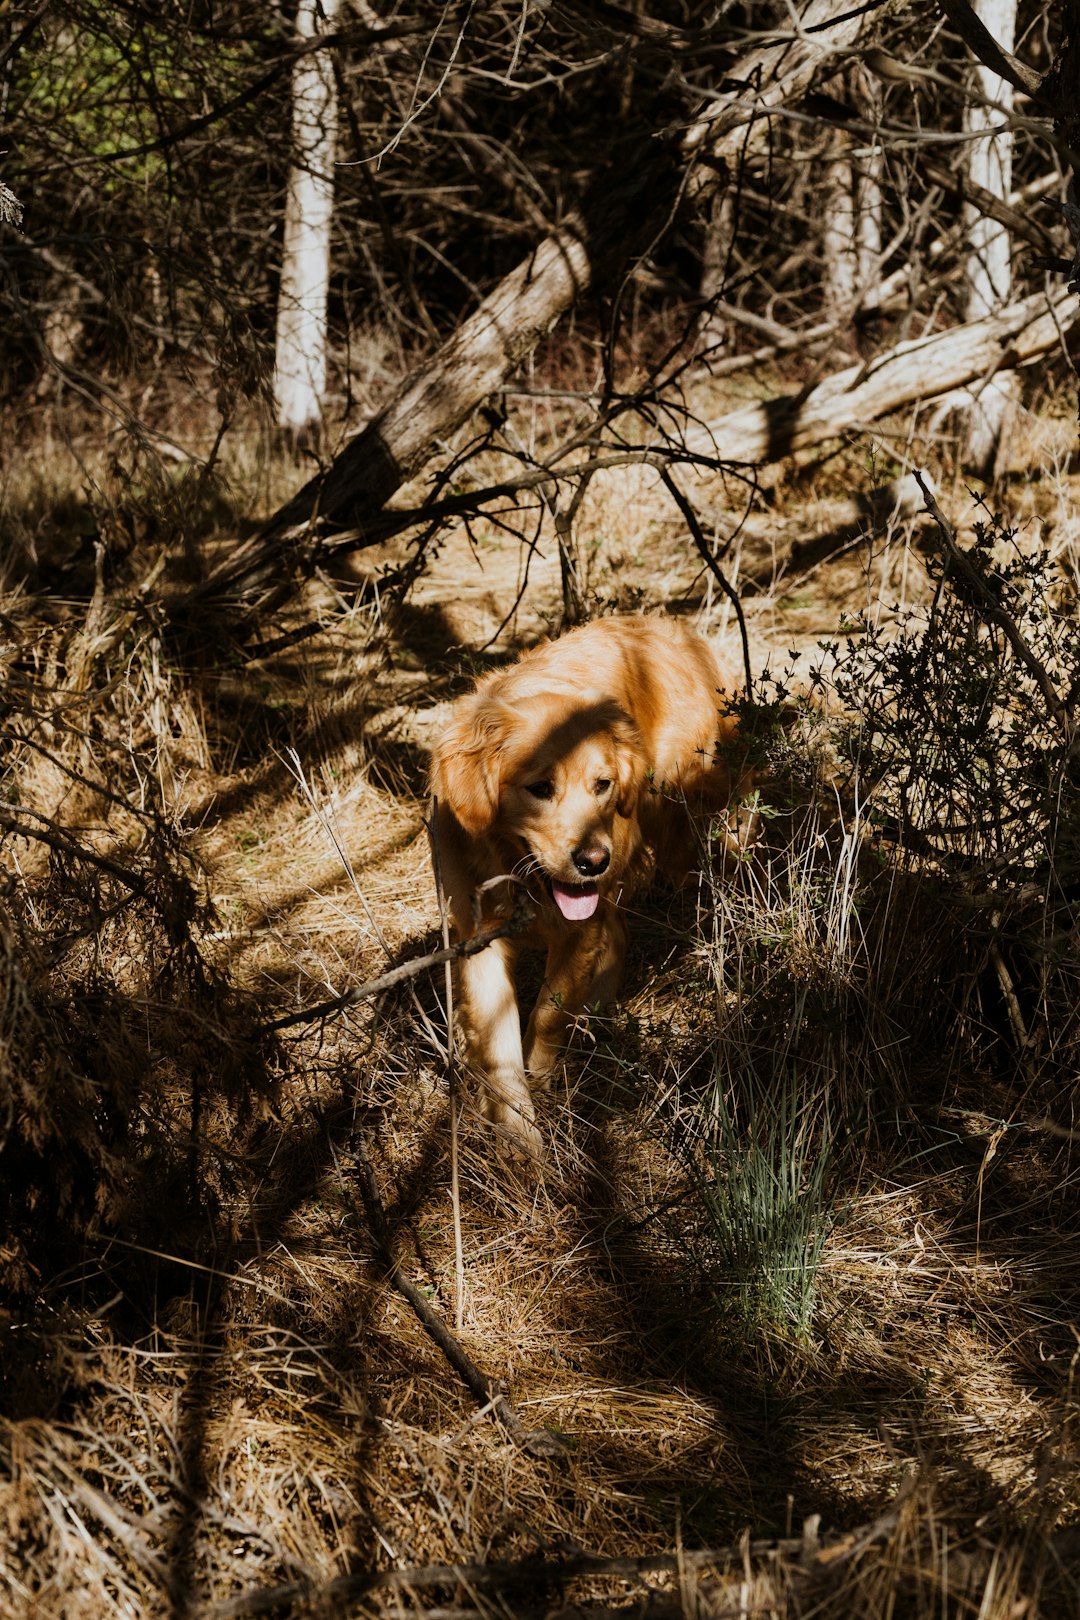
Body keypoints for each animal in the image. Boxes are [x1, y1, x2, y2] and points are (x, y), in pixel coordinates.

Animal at [427, 612, 748, 1159]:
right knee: (618, 932)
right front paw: (520, 1143)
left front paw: (544, 1081)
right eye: (539, 788)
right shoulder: (479, 940)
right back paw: (597, 1018)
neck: (516, 871)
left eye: (602, 784)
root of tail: (680, 631)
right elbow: (499, 1048)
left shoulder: (577, 930)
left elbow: (548, 1014)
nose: (593, 861)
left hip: (685, 828)